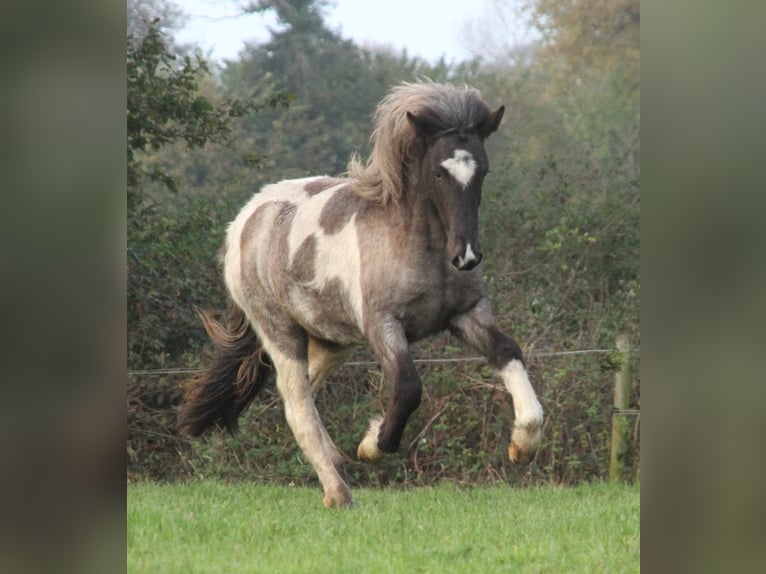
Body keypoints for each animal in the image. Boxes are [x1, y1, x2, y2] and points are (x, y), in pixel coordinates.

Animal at [179, 81, 544, 508]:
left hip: (331, 341)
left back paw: (335, 468)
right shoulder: (382, 324)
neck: (418, 244)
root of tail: (243, 221)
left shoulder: (468, 313)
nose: (466, 257)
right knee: (298, 407)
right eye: (438, 172)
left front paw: (524, 444)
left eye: (483, 170)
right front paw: (371, 444)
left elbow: (508, 352)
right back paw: (338, 493)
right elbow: (408, 388)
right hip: (280, 333)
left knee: (300, 393)